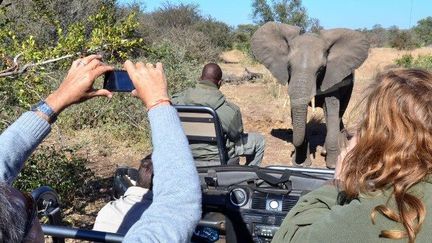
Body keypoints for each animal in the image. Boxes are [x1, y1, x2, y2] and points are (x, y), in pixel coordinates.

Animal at [251, 21, 370, 168]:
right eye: (289, 67)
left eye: (321, 69)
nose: (294, 156)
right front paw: (301, 164)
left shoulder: (332, 75)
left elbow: (331, 108)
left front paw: (332, 164)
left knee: (340, 111)